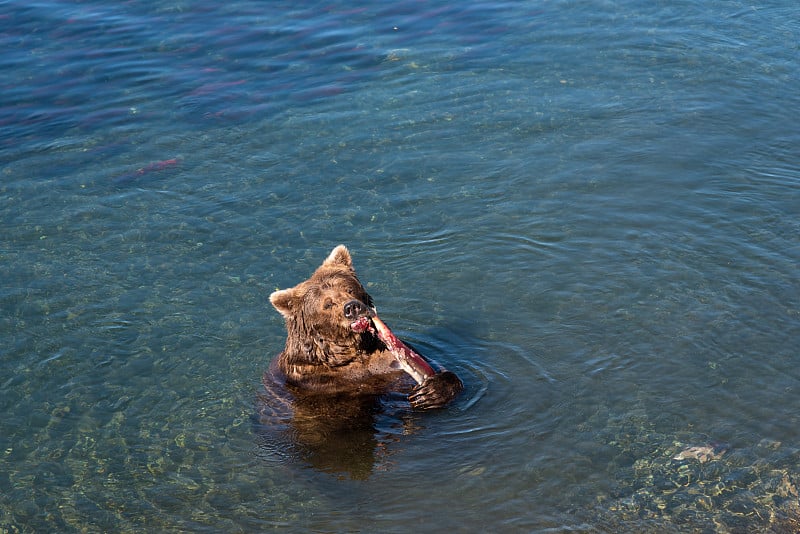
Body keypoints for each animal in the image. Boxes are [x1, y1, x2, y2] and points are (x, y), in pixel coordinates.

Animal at [264, 245, 460, 412]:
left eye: (349, 289)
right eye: (327, 304)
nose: (352, 307)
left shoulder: (388, 361)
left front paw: (430, 392)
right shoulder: (316, 382)